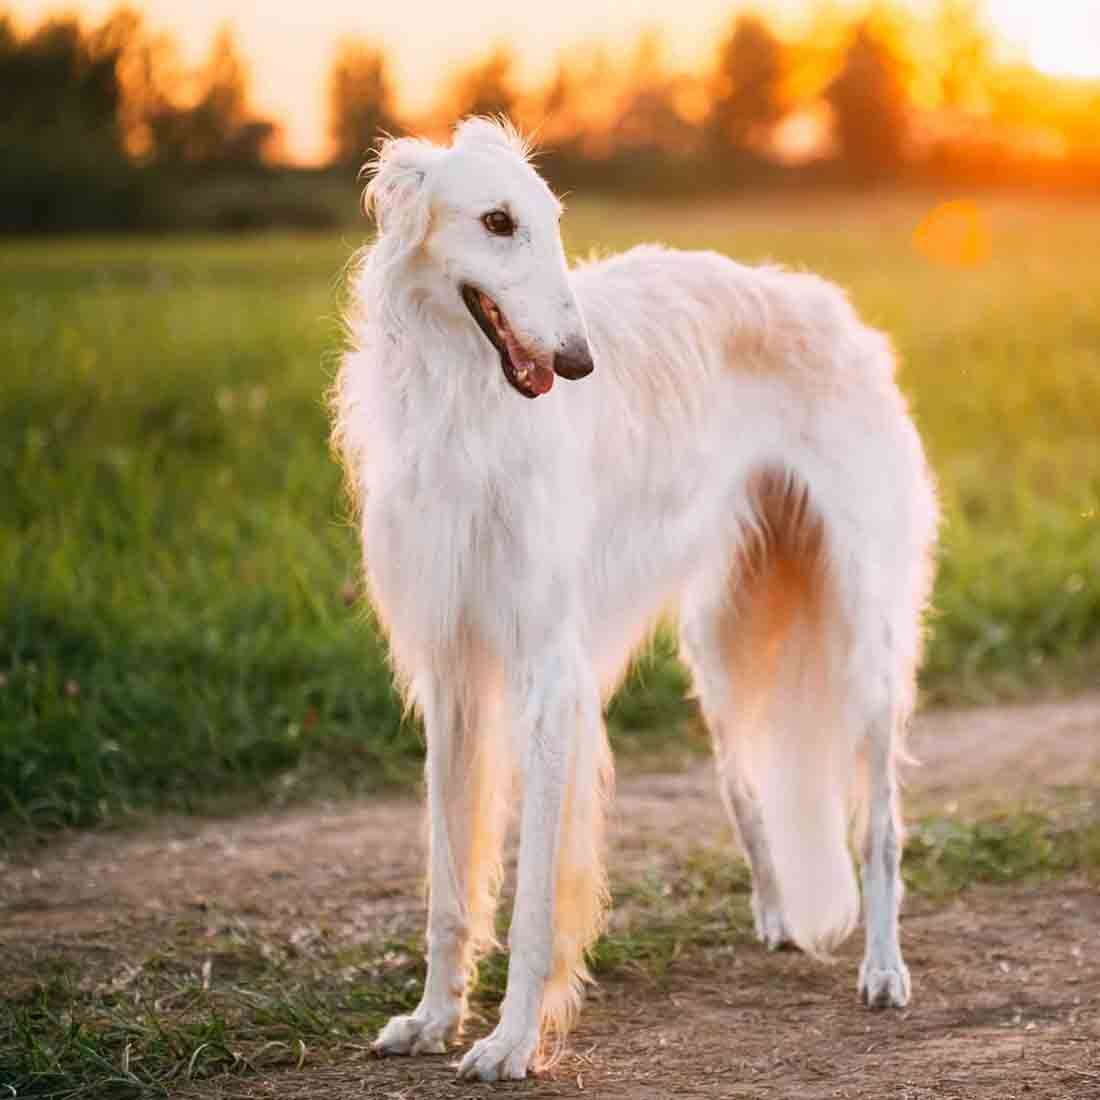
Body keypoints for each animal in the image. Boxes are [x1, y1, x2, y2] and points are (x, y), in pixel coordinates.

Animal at [332, 116, 937, 1078]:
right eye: (497, 221)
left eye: (550, 220)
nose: (578, 363)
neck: (466, 405)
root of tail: (835, 311)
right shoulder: (452, 672)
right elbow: (450, 885)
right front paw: (432, 1017)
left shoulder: (548, 675)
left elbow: (536, 898)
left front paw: (510, 1040)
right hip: (722, 651)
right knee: (747, 793)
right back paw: (777, 915)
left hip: (863, 638)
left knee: (879, 828)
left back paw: (883, 967)